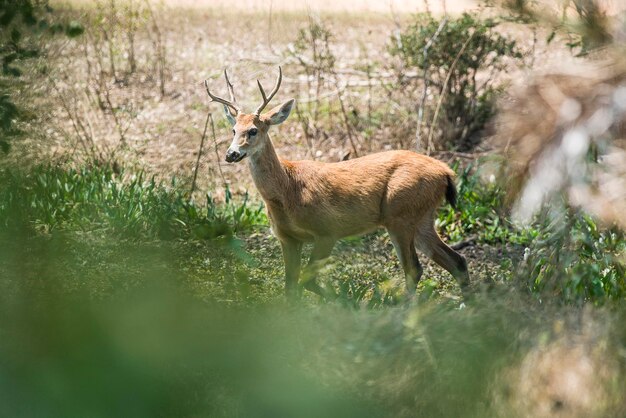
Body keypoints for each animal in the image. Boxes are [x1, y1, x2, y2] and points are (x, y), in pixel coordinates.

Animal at [205, 67, 468, 298]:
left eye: (253, 130)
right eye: (233, 130)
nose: (231, 154)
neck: (286, 191)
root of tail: (446, 172)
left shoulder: (327, 230)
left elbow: (307, 281)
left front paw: (345, 304)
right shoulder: (287, 238)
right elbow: (290, 287)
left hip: (401, 215)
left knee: (414, 268)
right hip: (422, 217)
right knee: (457, 260)